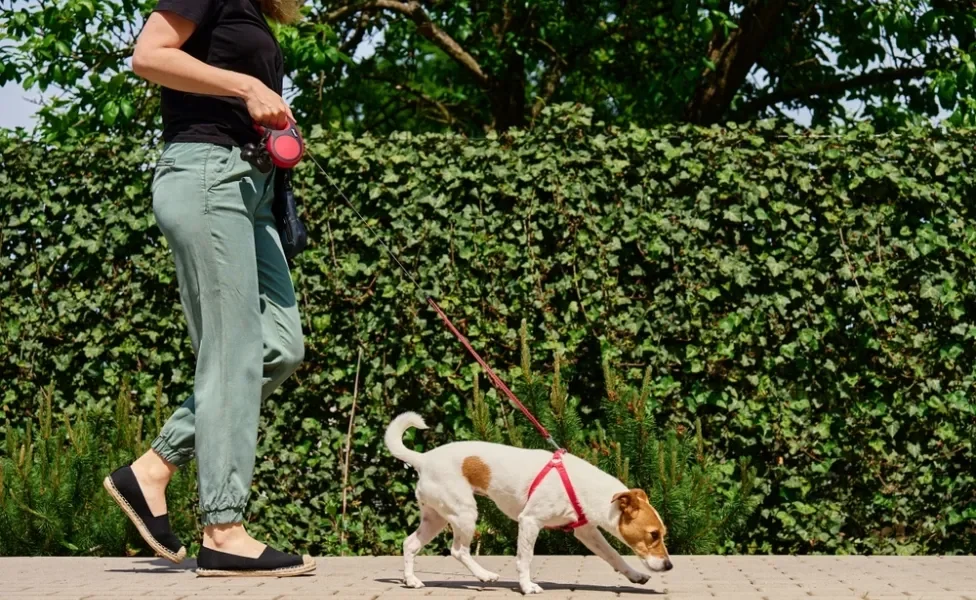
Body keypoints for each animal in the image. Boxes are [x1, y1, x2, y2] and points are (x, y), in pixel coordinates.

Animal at [384, 410, 672, 592]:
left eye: (662, 533)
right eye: (653, 534)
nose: (669, 566)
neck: (582, 486)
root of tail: (423, 459)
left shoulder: (586, 531)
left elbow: (613, 555)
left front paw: (635, 575)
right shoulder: (530, 522)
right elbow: (525, 558)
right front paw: (526, 586)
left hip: (436, 517)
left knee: (410, 544)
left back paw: (411, 581)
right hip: (464, 513)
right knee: (458, 550)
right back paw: (485, 575)